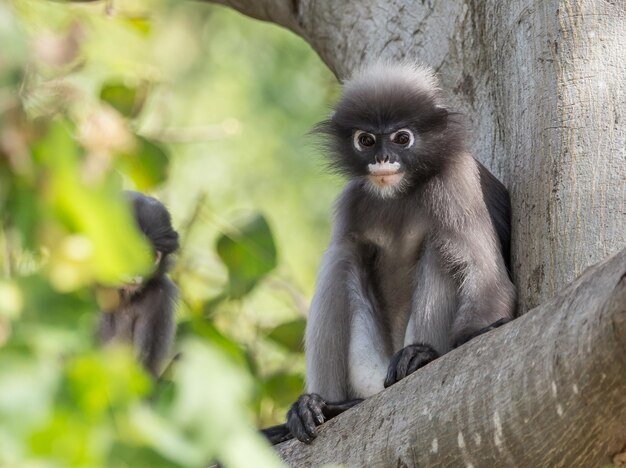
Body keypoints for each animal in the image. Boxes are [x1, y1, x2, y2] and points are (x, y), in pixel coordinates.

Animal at [280, 62, 516, 442]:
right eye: (366, 140)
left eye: (401, 138)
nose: (382, 158)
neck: (400, 192)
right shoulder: (351, 200)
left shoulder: (457, 182)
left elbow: (487, 275)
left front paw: (466, 337)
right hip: (369, 370)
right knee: (341, 256)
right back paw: (322, 406)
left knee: (441, 248)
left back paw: (421, 357)